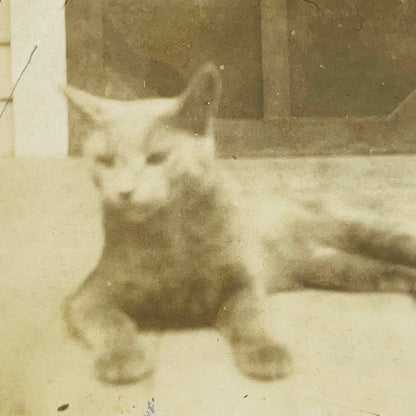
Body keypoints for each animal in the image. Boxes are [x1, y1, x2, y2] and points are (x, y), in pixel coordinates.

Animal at [62, 63, 416, 386]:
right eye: (105, 161)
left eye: (157, 158)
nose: (124, 191)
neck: (173, 234)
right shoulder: (89, 295)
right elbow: (110, 322)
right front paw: (123, 357)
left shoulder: (243, 281)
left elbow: (251, 318)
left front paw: (266, 352)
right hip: (332, 268)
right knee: (385, 271)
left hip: (367, 232)